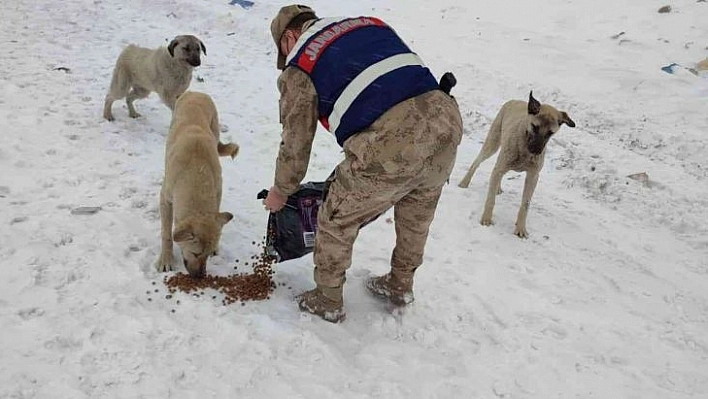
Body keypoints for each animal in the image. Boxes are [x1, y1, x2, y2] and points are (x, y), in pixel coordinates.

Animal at [156, 91, 239, 278]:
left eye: (207, 255)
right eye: (195, 253)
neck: (196, 171)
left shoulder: (218, 190)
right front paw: (166, 259)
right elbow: (166, 234)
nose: (200, 277)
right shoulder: (165, 198)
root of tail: (196, 93)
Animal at [460, 92, 576, 239]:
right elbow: (490, 199)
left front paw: (520, 228)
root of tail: (514, 100)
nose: (536, 150)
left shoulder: (533, 176)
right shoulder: (501, 165)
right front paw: (486, 219)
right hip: (492, 143)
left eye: (551, 133)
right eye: (535, 127)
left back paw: (497, 187)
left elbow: (525, 205)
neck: (525, 148)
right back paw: (464, 182)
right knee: (477, 162)